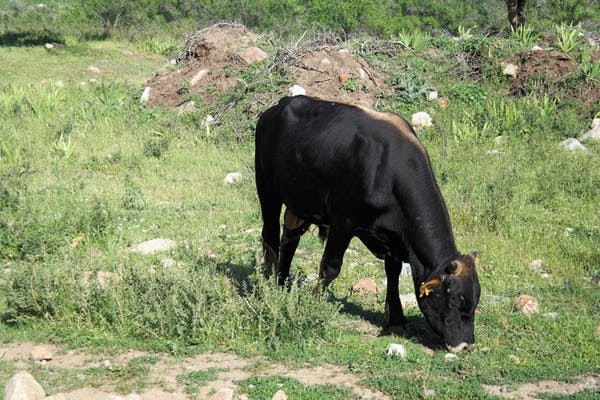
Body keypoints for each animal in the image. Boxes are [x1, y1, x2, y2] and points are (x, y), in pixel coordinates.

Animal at [255, 95, 480, 352]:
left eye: (475, 302)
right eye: (454, 301)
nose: (466, 345)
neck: (387, 172)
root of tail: (280, 104)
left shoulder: (394, 238)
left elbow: (393, 273)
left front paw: (395, 321)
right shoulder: (343, 222)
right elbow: (331, 267)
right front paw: (314, 304)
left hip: (299, 202)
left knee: (290, 239)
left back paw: (282, 282)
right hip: (267, 190)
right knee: (270, 237)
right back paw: (269, 284)